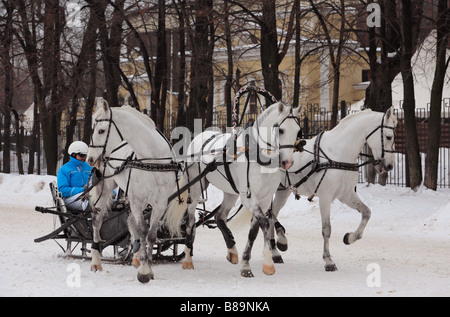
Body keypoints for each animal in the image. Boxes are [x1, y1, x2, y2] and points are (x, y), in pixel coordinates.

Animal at [86, 103, 185, 282]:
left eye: (101, 131)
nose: (89, 158)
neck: (152, 159)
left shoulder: (160, 204)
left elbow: (151, 235)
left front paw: (148, 266)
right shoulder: (137, 201)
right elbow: (143, 230)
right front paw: (144, 270)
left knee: (130, 220)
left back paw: (136, 257)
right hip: (106, 186)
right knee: (97, 218)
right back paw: (96, 261)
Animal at [169, 102, 302, 276]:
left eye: (298, 130)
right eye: (281, 130)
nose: (287, 162)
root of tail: (198, 138)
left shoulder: (265, 199)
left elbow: (255, 230)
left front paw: (249, 263)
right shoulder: (248, 197)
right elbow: (265, 223)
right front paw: (264, 262)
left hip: (230, 192)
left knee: (220, 217)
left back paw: (232, 249)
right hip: (197, 186)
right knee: (190, 221)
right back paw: (187, 259)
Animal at [268, 105, 398, 270]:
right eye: (388, 137)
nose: (389, 166)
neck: (338, 153)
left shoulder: (346, 195)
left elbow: (366, 213)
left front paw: (350, 237)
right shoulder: (325, 197)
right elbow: (327, 229)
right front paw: (328, 260)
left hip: (283, 191)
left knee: (272, 214)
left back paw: (275, 251)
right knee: (269, 214)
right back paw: (280, 242)